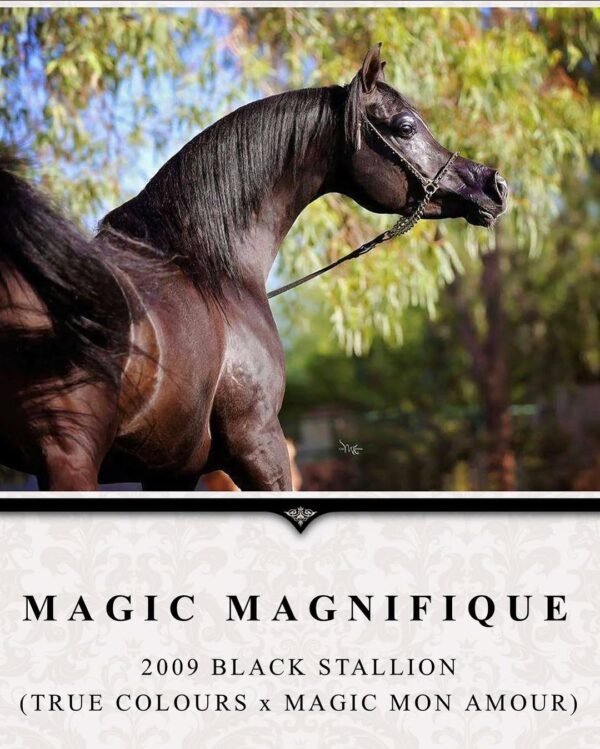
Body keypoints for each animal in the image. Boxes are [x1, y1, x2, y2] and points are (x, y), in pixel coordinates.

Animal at [0, 45, 508, 491]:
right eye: (405, 126)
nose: (495, 185)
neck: (209, 267)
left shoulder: (171, 470)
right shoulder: (258, 444)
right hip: (69, 457)